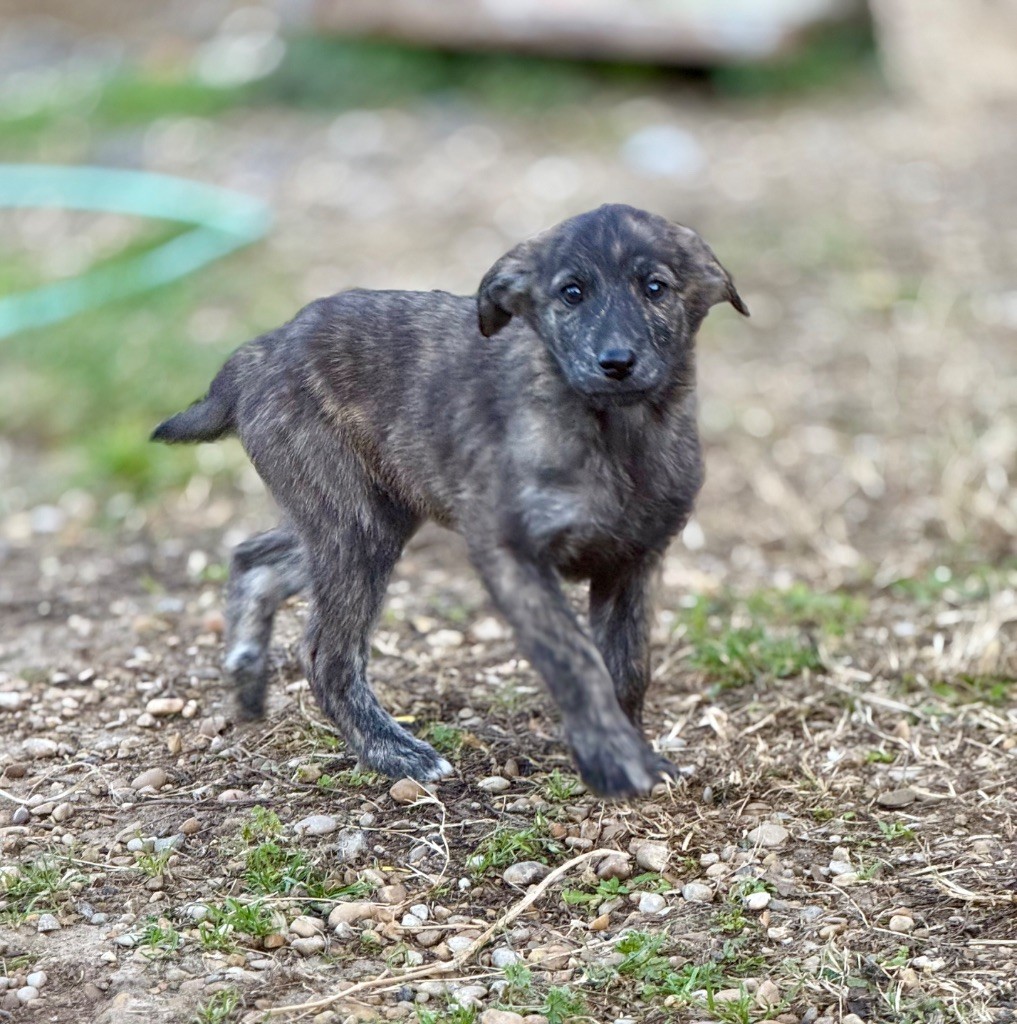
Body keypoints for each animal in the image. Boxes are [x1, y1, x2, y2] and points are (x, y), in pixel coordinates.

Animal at [156, 203, 745, 794]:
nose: (616, 361)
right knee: (326, 652)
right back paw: (396, 753)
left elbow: (628, 667)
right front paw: (615, 760)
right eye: (572, 293)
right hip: (355, 525)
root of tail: (255, 356)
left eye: (655, 287)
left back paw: (247, 675)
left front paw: (629, 753)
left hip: (368, 516)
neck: (619, 433)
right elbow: (576, 660)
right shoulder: (508, 550)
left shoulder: (634, 562)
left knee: (255, 557)